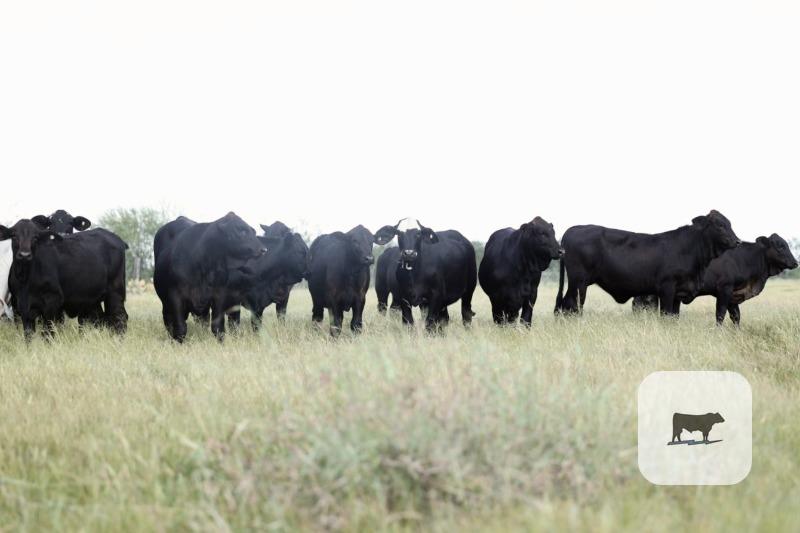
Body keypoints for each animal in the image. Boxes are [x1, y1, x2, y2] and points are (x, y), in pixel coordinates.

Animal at [0, 218, 128, 340]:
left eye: (35, 237)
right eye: (14, 235)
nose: (25, 255)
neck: (25, 280)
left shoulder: (52, 302)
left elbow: (48, 332)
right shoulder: (21, 307)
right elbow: (28, 335)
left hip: (115, 292)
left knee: (119, 317)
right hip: (92, 299)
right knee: (101, 319)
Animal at [153, 212, 265, 342]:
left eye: (253, 231)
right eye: (241, 230)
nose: (264, 249)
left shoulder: (219, 296)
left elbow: (217, 327)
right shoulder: (175, 296)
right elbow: (180, 327)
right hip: (166, 303)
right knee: (168, 321)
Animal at [554, 210, 740, 315]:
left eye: (730, 223)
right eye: (719, 225)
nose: (737, 241)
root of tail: (573, 229)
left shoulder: (678, 293)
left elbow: (674, 317)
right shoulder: (667, 288)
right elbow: (666, 315)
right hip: (579, 282)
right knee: (571, 305)